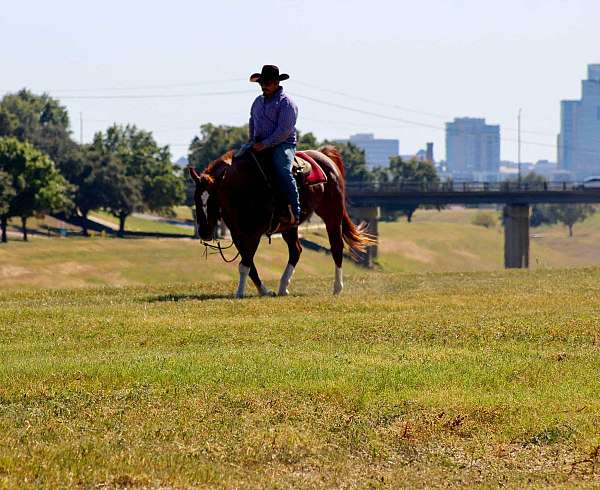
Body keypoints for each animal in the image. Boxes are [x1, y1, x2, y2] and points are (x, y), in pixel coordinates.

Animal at [189, 145, 376, 298]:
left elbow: (245, 264)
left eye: (213, 199)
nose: (204, 232)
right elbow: (250, 266)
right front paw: (264, 291)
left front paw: (240, 292)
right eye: (196, 199)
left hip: (332, 215)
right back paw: (283, 287)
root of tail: (324, 156)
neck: (244, 187)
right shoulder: (238, 235)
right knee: (296, 250)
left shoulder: (254, 233)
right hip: (290, 226)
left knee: (336, 247)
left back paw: (337, 287)